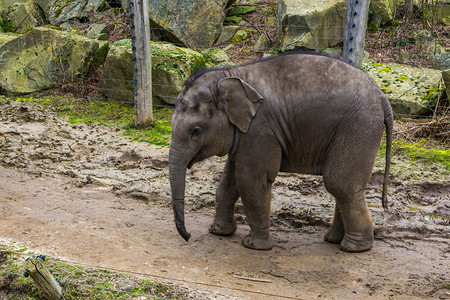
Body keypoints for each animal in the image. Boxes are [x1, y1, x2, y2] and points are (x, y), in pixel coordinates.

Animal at [171, 52, 392, 252]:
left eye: (195, 130)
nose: (188, 236)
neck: (230, 74)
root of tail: (382, 97)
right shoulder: (244, 134)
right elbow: (229, 180)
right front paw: (219, 232)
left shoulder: (260, 129)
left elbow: (250, 179)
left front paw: (254, 246)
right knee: (344, 185)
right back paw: (334, 240)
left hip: (358, 127)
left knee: (339, 182)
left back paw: (354, 247)